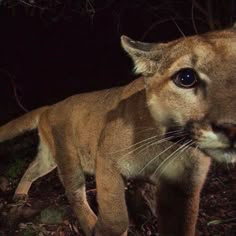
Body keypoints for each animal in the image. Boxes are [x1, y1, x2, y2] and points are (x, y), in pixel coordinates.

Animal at [0, 28, 236, 236]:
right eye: (186, 77)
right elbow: (116, 216)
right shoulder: (107, 159)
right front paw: (104, 229)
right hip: (68, 156)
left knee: (32, 168)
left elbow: (181, 226)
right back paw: (90, 224)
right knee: (74, 192)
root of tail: (50, 106)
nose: (232, 127)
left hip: (49, 157)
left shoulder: (183, 187)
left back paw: (20, 195)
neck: (168, 145)